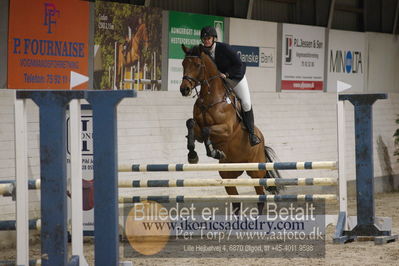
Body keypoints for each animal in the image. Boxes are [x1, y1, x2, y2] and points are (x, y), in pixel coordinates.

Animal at [181, 44, 282, 214]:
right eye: (183, 64)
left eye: (197, 65)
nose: (184, 89)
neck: (210, 98)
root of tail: (262, 141)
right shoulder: (198, 130)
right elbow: (191, 124)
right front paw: (192, 155)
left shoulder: (225, 129)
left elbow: (207, 130)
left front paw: (213, 152)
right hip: (228, 174)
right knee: (235, 202)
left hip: (256, 172)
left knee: (260, 197)